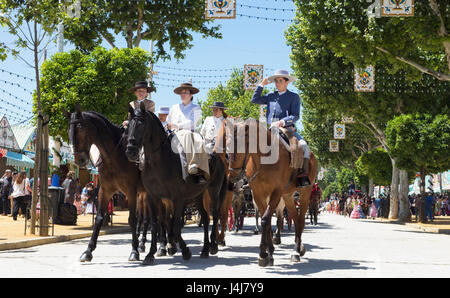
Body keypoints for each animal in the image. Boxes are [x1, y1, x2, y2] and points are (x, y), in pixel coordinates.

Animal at [124, 103, 227, 266]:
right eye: (128, 126)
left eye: (141, 124)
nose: (130, 152)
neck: (159, 161)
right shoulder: (153, 197)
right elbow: (156, 225)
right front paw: (151, 254)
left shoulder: (177, 199)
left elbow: (175, 226)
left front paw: (184, 251)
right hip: (198, 195)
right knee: (205, 217)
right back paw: (204, 250)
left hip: (213, 191)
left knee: (215, 215)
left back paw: (213, 246)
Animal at [219, 117, 318, 266]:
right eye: (228, 145)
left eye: (242, 146)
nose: (232, 178)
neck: (264, 160)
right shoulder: (258, 194)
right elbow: (265, 219)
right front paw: (269, 253)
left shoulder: (276, 193)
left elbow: (266, 219)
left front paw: (263, 253)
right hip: (288, 196)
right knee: (295, 218)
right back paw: (297, 248)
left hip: (305, 193)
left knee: (300, 219)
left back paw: (296, 251)